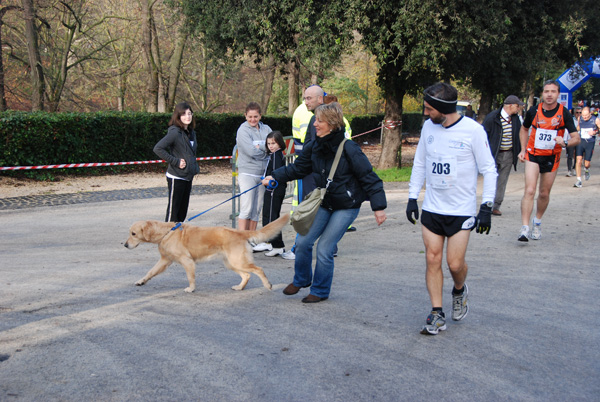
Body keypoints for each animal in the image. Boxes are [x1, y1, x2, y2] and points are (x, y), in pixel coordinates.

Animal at [123, 214, 290, 292]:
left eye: (133, 234)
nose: (124, 245)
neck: (166, 232)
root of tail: (239, 232)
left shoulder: (187, 261)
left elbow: (190, 277)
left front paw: (191, 289)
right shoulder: (165, 260)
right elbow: (150, 272)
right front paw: (141, 281)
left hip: (238, 261)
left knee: (258, 270)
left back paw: (267, 285)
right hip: (231, 263)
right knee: (246, 275)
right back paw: (239, 287)